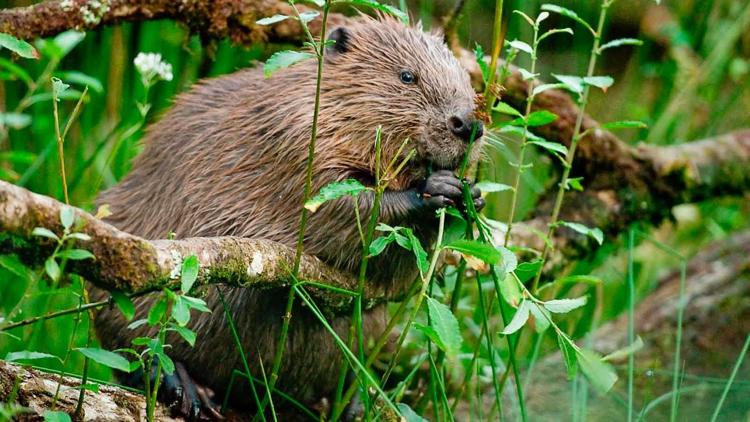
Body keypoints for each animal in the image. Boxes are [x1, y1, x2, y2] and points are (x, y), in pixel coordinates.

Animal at [91, 14, 488, 418]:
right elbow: (336, 208)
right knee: (134, 341)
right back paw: (185, 387)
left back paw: (351, 402)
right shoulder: (296, 140)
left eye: (467, 80)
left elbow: (397, 278)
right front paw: (435, 188)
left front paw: (471, 193)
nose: (468, 125)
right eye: (407, 76)